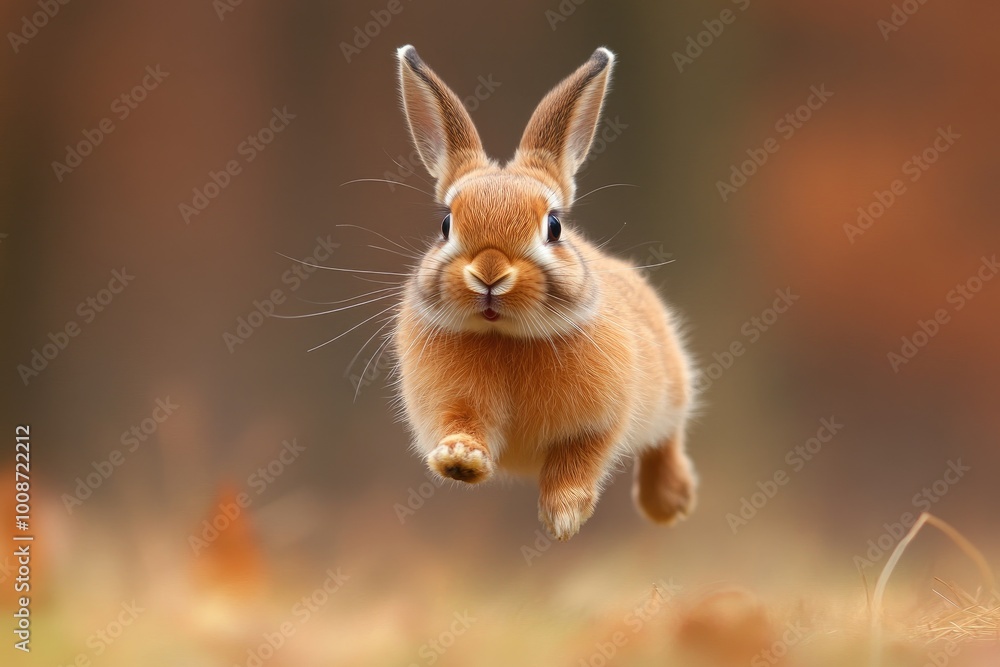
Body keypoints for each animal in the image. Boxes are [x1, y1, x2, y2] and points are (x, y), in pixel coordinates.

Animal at [391, 45, 697, 541]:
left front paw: (563, 517)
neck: (507, 338)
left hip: (669, 384)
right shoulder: (452, 405)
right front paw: (460, 461)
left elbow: (581, 458)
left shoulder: (601, 422)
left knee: (667, 438)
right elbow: (463, 426)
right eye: (446, 224)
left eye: (553, 226)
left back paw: (670, 503)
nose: (490, 272)